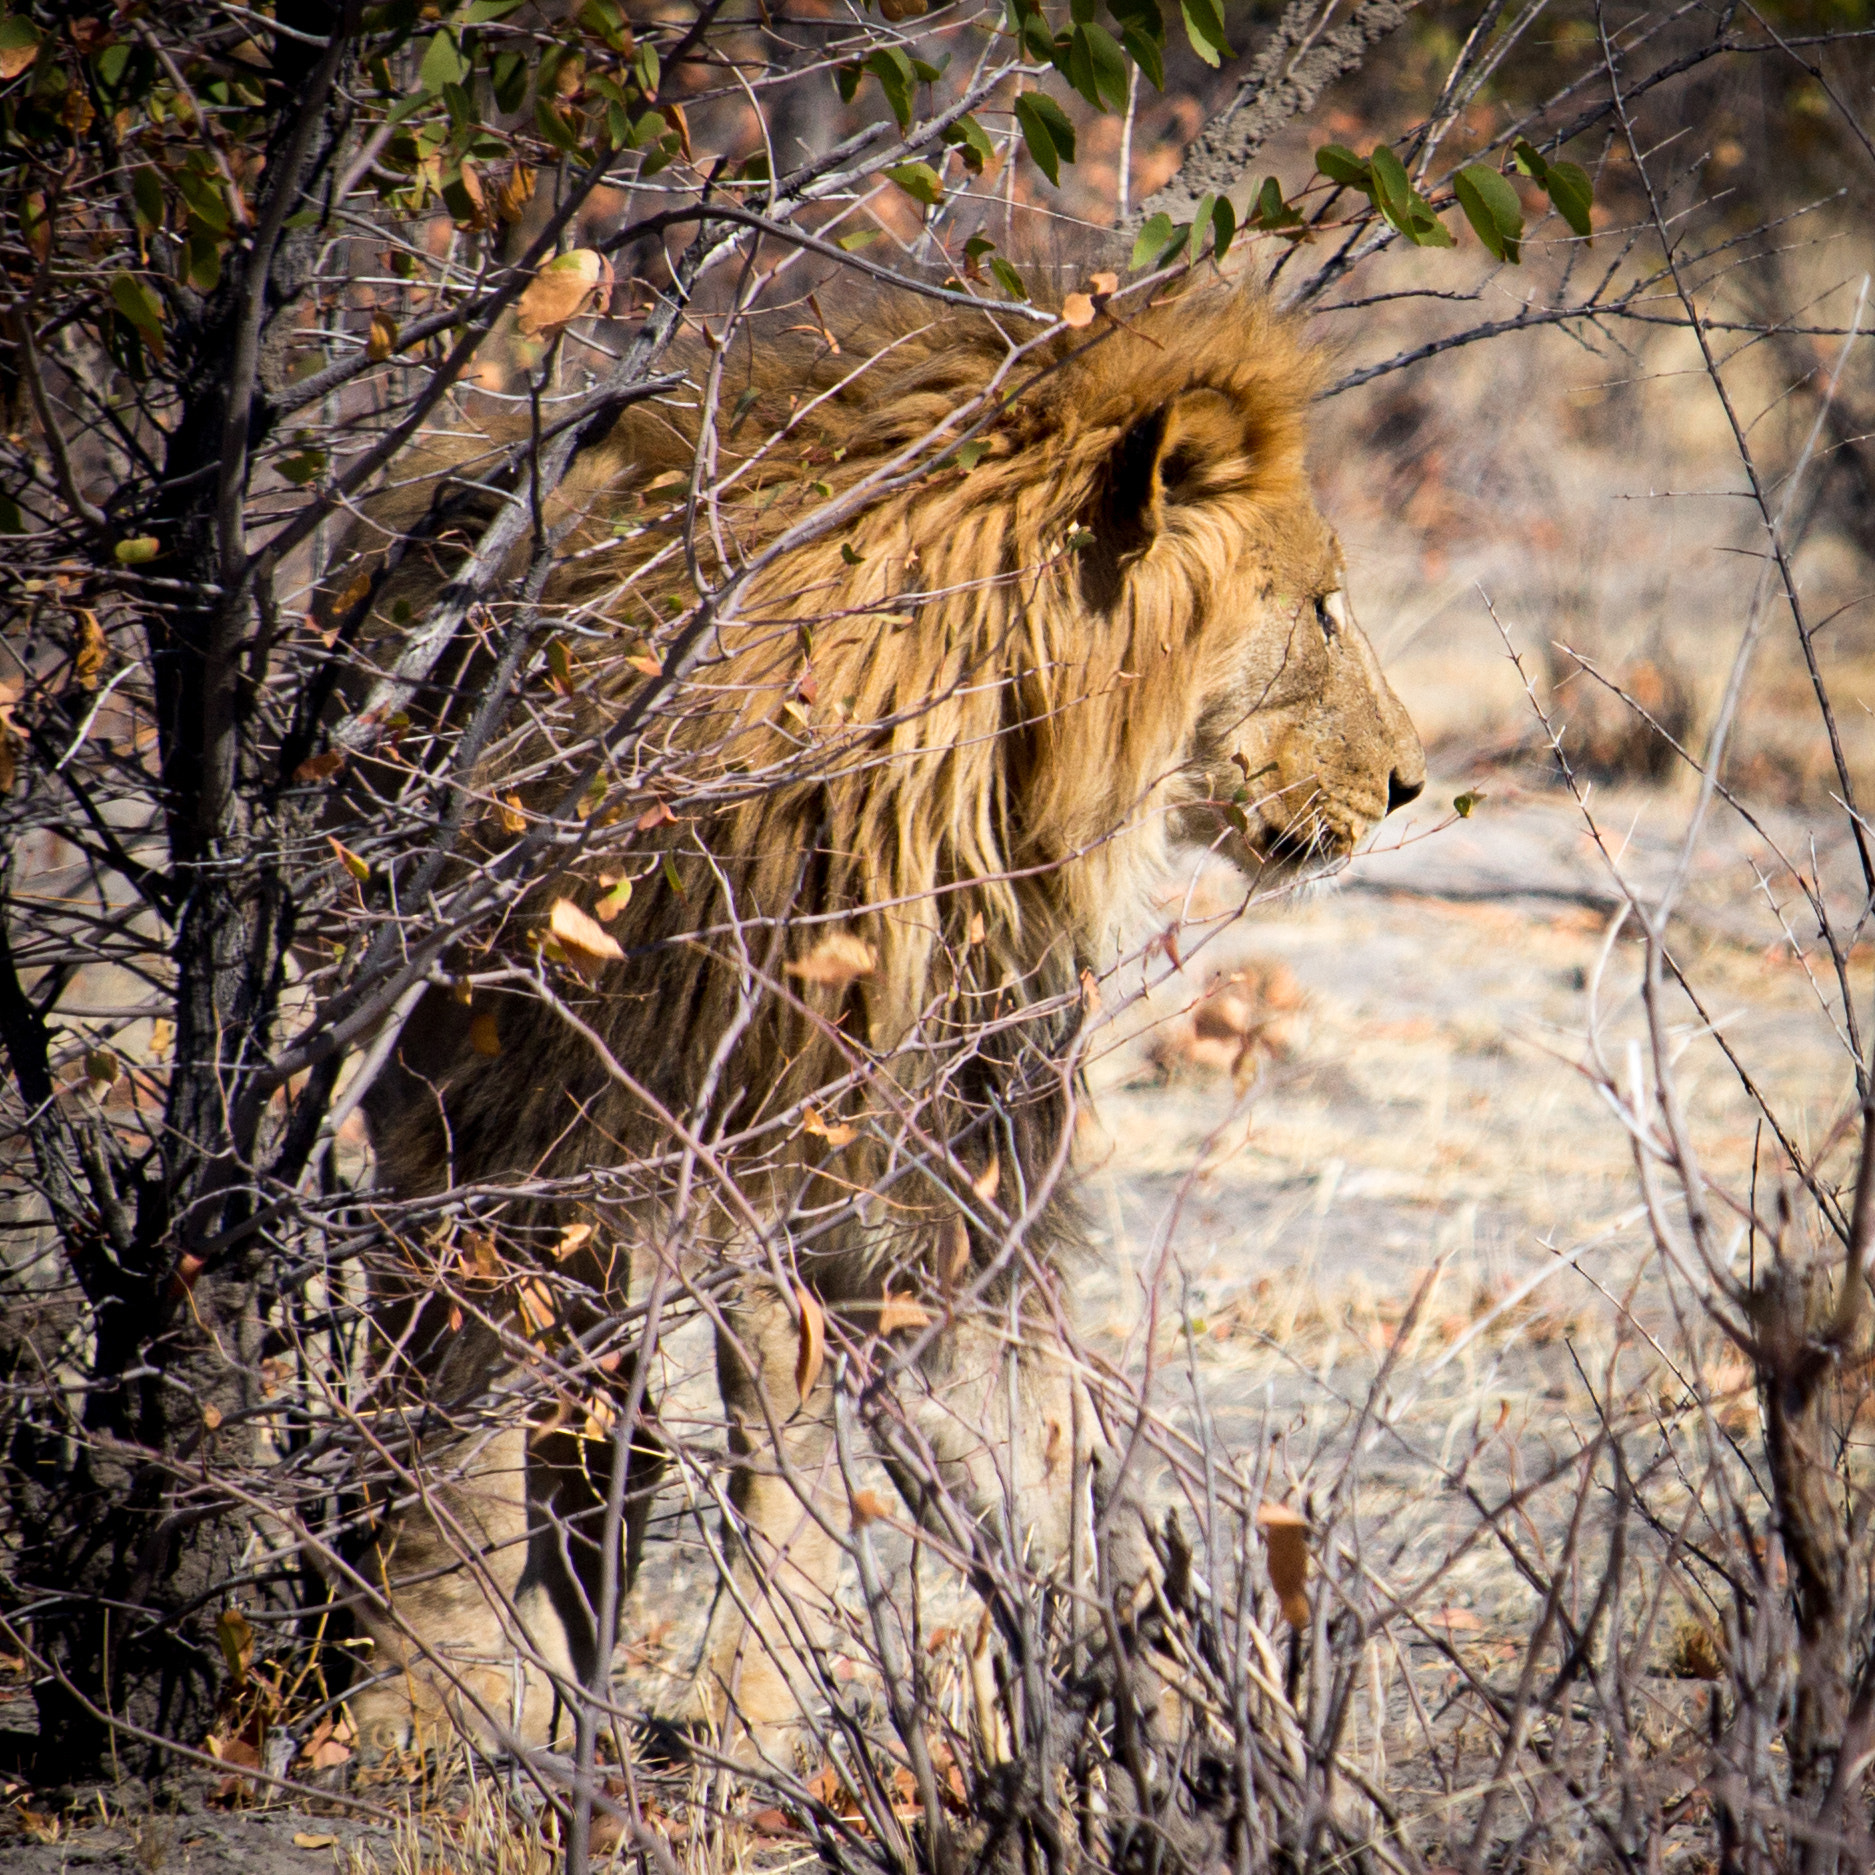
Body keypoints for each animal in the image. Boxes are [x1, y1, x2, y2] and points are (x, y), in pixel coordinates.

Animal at [327, 280, 1424, 1758]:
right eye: (1319, 611)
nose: (1412, 781)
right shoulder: (510, 1118)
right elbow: (466, 1435)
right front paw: (422, 1706)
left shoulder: (919, 1185)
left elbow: (983, 1453)